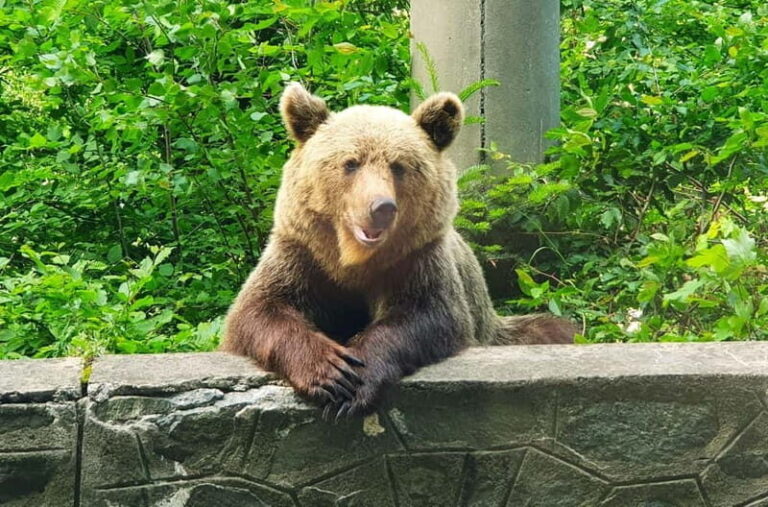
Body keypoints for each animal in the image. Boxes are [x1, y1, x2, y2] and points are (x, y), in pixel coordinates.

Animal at [222, 82, 576, 418]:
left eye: (399, 166)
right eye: (351, 163)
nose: (381, 207)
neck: (352, 262)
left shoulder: (416, 261)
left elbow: (425, 316)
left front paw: (357, 379)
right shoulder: (303, 256)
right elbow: (259, 310)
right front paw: (331, 373)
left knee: (552, 327)